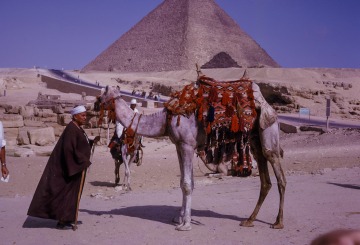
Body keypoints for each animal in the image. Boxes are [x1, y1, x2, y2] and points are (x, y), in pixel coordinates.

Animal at [98, 75, 286, 231]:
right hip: (254, 138)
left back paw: (278, 222)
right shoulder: (179, 145)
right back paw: (249, 220)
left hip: (268, 128)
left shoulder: (187, 145)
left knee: (276, 167)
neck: (166, 118)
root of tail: (267, 104)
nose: (95, 105)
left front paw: (185, 224)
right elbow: (184, 182)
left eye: (101, 95)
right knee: (264, 176)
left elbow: (187, 184)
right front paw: (180, 218)